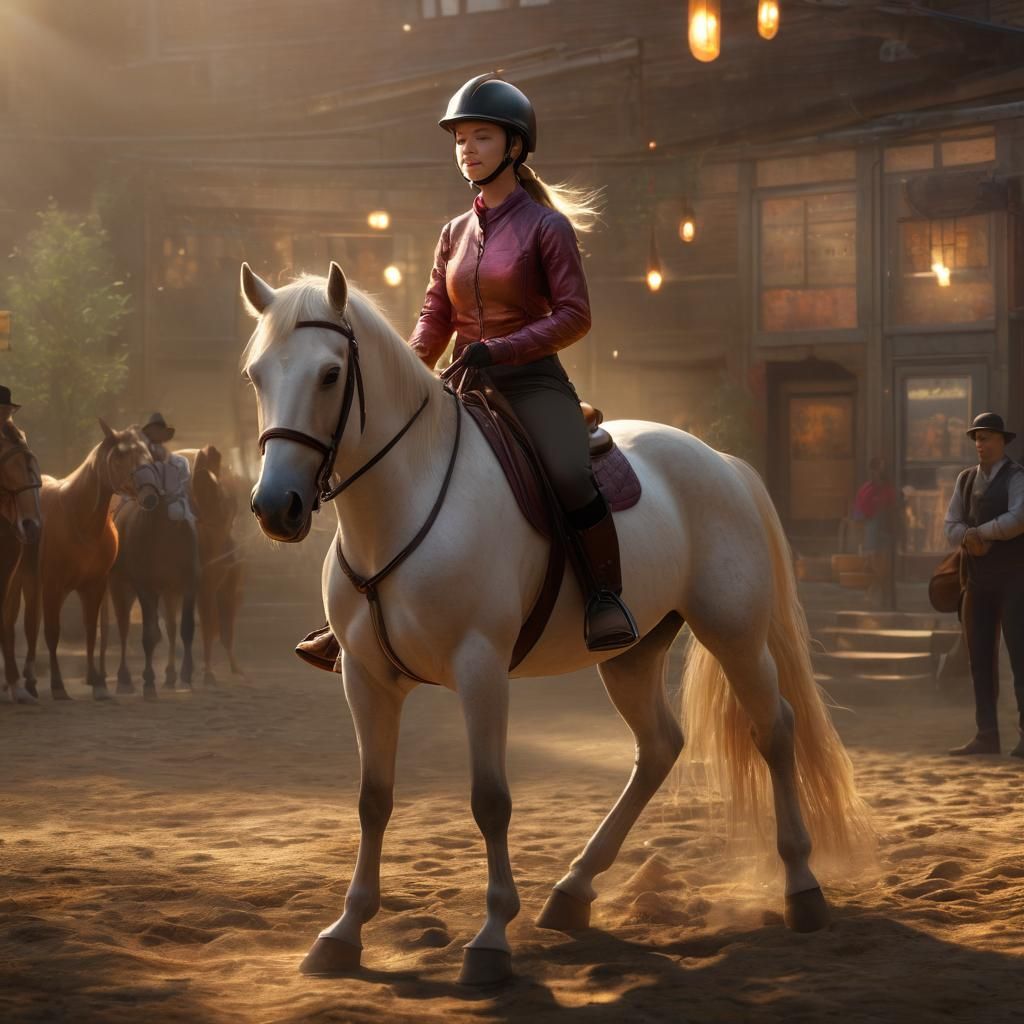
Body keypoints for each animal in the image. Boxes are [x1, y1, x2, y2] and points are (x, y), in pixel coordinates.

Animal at [9, 420, 153, 700]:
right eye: (120, 456)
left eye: (147, 453)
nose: (150, 496)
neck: (79, 519)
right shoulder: (53, 586)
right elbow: (52, 633)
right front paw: (58, 686)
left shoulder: (94, 585)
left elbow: (91, 630)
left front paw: (98, 684)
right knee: (23, 624)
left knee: (32, 626)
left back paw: (30, 681)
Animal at [107, 455, 200, 700]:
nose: (148, 499)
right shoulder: (145, 587)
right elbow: (149, 635)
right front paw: (148, 682)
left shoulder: (188, 584)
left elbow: (186, 629)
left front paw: (186, 675)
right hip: (120, 586)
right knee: (123, 628)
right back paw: (124, 679)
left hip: (168, 591)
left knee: (171, 627)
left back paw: (170, 676)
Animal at [240, 262, 872, 986]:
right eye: (257, 374)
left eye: (329, 374)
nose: (275, 507)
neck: (403, 505)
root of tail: (721, 461)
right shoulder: (366, 679)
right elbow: (373, 800)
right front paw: (344, 932)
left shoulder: (481, 669)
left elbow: (490, 799)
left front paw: (490, 939)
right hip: (631, 654)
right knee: (659, 747)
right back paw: (574, 889)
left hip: (733, 633)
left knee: (774, 731)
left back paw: (801, 885)